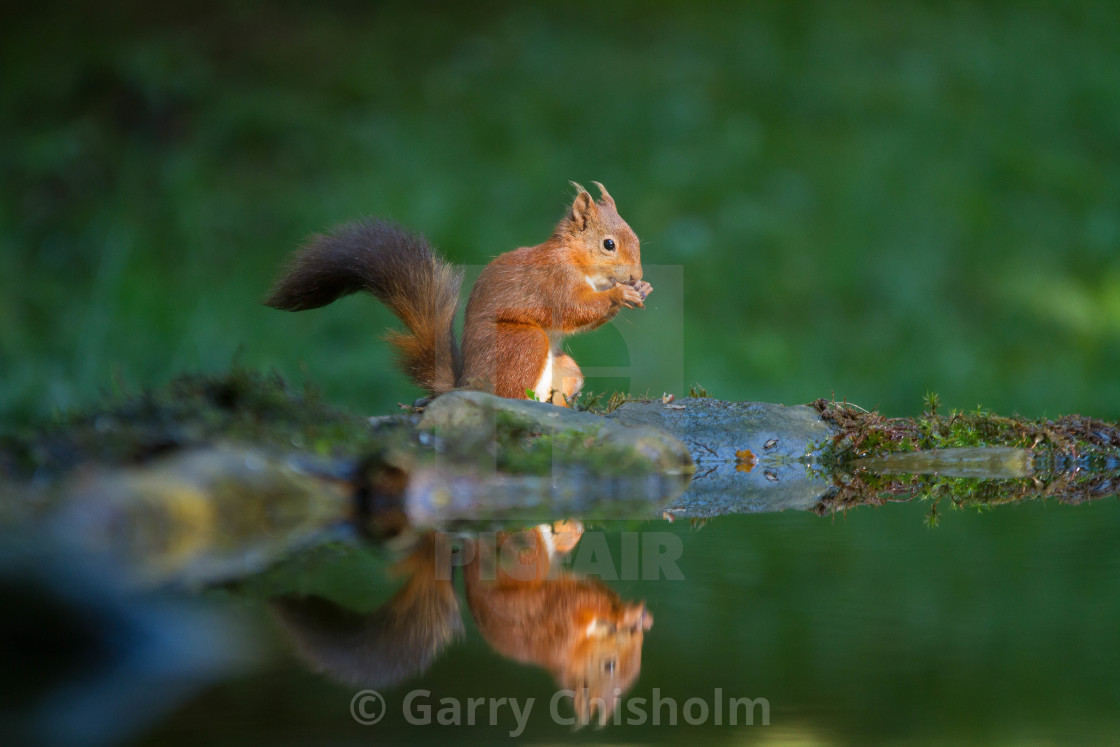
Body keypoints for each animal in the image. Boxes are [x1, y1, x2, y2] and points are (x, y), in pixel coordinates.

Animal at [266, 183, 654, 405]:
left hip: (566, 369)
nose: (637, 275)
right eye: (608, 244)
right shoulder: (552, 281)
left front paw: (642, 288)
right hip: (522, 343)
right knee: (511, 392)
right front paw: (620, 295)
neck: (574, 258)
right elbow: (572, 309)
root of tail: (467, 385)